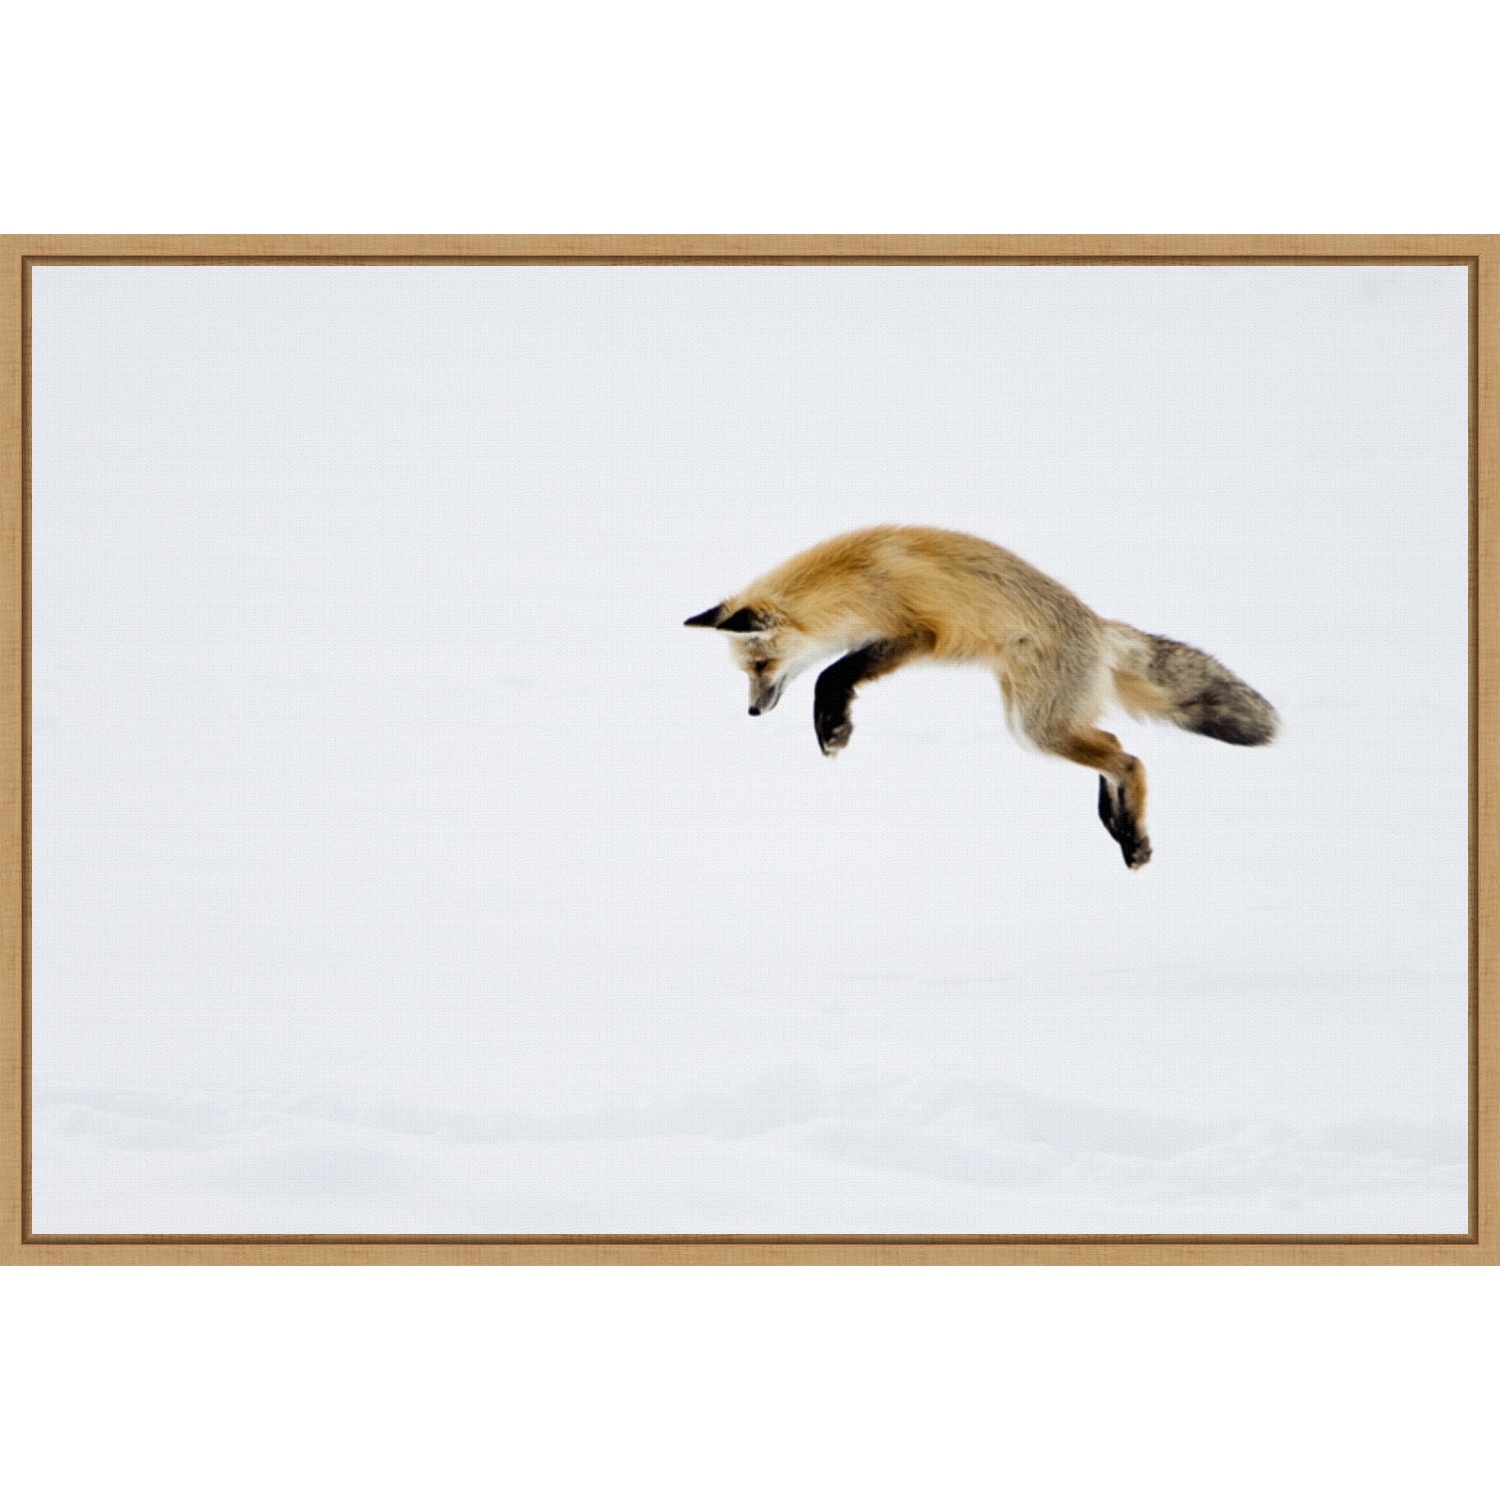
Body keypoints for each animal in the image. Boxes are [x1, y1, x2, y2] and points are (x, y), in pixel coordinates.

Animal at [684, 525, 1278, 869]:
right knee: (1113, 744)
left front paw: (833, 727)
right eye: (746, 672)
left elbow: (830, 675)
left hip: (1036, 726)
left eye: (760, 666)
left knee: (1129, 759)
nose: (752, 710)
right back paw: (1120, 826)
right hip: (1035, 721)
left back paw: (1129, 834)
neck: (853, 578)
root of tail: (1097, 626)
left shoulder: (914, 633)